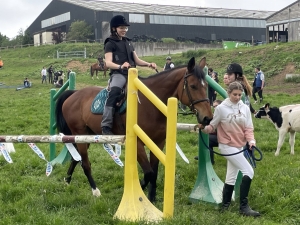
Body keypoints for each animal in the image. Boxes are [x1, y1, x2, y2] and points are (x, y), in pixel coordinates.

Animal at [55, 57, 212, 201]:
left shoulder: (158, 142)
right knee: (85, 164)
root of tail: (73, 94)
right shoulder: (137, 143)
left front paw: (151, 199)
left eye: (206, 86)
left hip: (87, 136)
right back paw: (95, 191)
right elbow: (148, 173)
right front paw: (138, 192)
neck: (150, 103)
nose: (207, 118)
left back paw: (67, 181)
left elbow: (154, 172)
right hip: (80, 134)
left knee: (76, 159)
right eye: (193, 86)